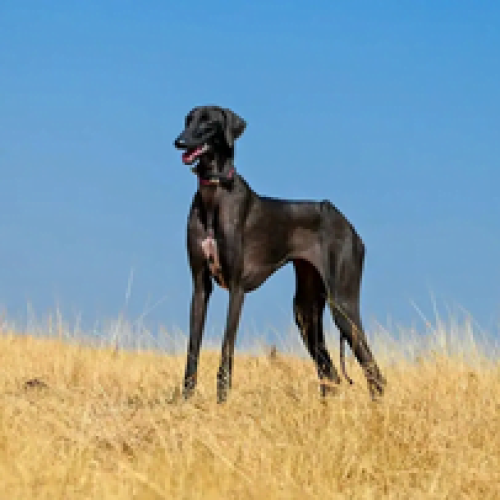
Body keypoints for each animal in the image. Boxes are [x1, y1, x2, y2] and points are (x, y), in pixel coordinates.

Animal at [174, 104, 384, 402]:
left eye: (207, 122)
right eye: (187, 120)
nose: (179, 142)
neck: (215, 194)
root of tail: (346, 223)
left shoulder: (237, 288)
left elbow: (227, 348)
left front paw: (222, 400)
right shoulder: (200, 286)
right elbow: (192, 348)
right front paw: (186, 400)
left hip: (342, 303)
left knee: (373, 371)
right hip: (305, 311)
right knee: (330, 374)